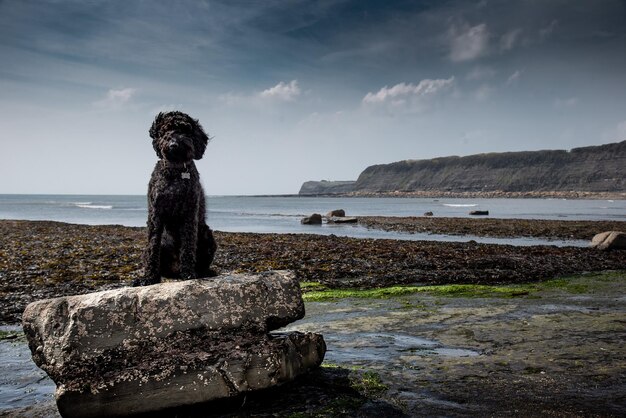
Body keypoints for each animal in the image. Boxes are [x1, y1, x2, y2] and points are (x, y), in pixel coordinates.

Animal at [132, 111, 217, 288]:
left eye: (185, 129)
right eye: (165, 130)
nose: (174, 144)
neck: (176, 170)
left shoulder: (190, 213)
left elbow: (188, 244)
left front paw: (188, 273)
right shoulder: (155, 214)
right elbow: (153, 247)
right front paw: (149, 278)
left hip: (207, 235)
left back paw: (203, 272)